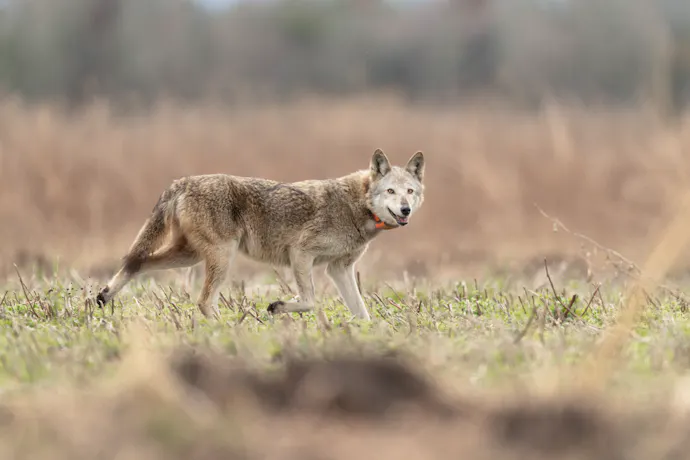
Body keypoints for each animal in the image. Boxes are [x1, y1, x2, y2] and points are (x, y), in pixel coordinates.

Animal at [95, 149, 425, 322]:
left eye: (410, 191)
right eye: (391, 191)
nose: (406, 209)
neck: (358, 206)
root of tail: (182, 182)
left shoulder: (339, 269)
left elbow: (362, 313)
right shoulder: (301, 254)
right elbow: (309, 300)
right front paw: (278, 307)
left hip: (189, 257)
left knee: (137, 262)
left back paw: (103, 296)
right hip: (220, 257)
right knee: (202, 300)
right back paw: (227, 330)